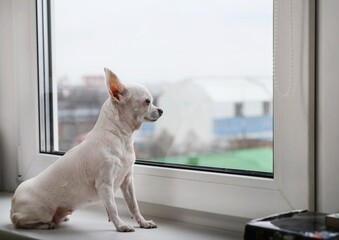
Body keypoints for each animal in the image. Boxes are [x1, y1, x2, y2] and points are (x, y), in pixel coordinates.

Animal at [10, 68, 163, 232]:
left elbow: (133, 205)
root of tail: (13, 201)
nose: (161, 110)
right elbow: (113, 207)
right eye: (147, 101)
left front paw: (143, 222)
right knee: (17, 220)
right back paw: (45, 224)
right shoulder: (105, 185)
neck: (122, 138)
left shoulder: (127, 182)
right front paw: (121, 225)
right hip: (42, 211)